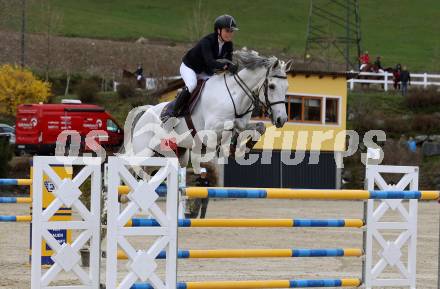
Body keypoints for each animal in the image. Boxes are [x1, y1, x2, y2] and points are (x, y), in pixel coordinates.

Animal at [122, 49, 290, 172]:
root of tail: (146, 112)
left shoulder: (243, 122)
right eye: (272, 86)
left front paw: (243, 147)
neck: (235, 95)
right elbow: (231, 126)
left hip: (171, 155)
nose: (282, 119)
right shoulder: (211, 129)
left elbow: (258, 127)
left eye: (286, 87)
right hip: (144, 152)